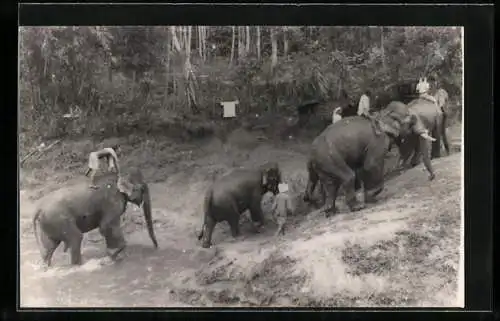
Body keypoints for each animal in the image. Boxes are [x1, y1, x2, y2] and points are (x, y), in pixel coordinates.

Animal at [302, 100, 436, 215]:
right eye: (412, 120)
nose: (430, 177)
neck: (382, 114)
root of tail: (310, 155)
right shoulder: (378, 141)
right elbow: (371, 165)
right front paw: (372, 197)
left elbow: (363, 167)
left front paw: (370, 196)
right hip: (330, 158)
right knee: (348, 177)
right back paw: (358, 207)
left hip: (323, 164)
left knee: (330, 185)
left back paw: (331, 212)